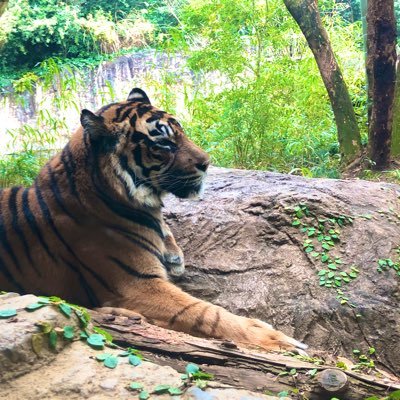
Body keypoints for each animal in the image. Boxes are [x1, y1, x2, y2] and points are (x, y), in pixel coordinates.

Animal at [0, 88, 306, 354]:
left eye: (182, 132)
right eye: (164, 143)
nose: (207, 163)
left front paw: (174, 255)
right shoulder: (136, 284)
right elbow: (206, 313)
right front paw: (278, 338)